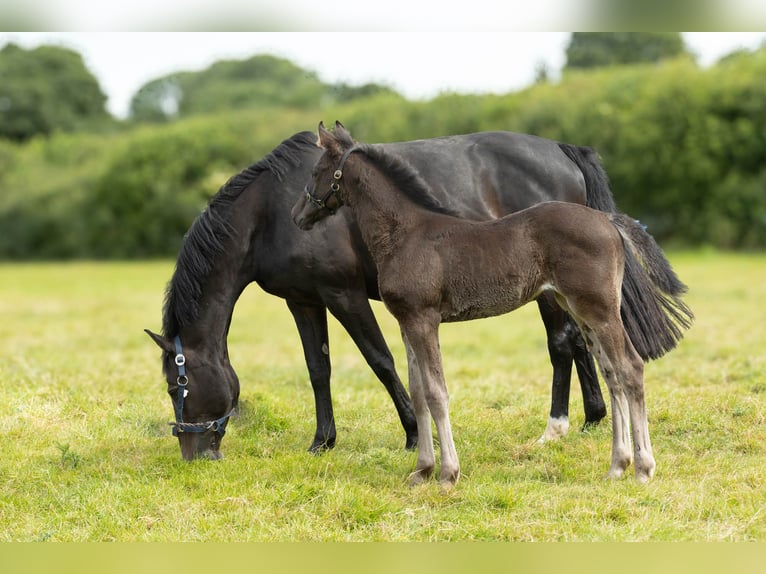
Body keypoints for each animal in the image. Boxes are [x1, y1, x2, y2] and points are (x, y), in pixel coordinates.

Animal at [142, 128, 612, 462]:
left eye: (176, 387)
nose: (195, 455)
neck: (268, 214)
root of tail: (562, 150)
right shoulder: (304, 300)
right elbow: (318, 370)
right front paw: (322, 442)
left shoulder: (344, 294)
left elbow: (381, 361)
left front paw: (412, 434)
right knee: (581, 340)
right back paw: (592, 417)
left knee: (562, 343)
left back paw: (558, 426)